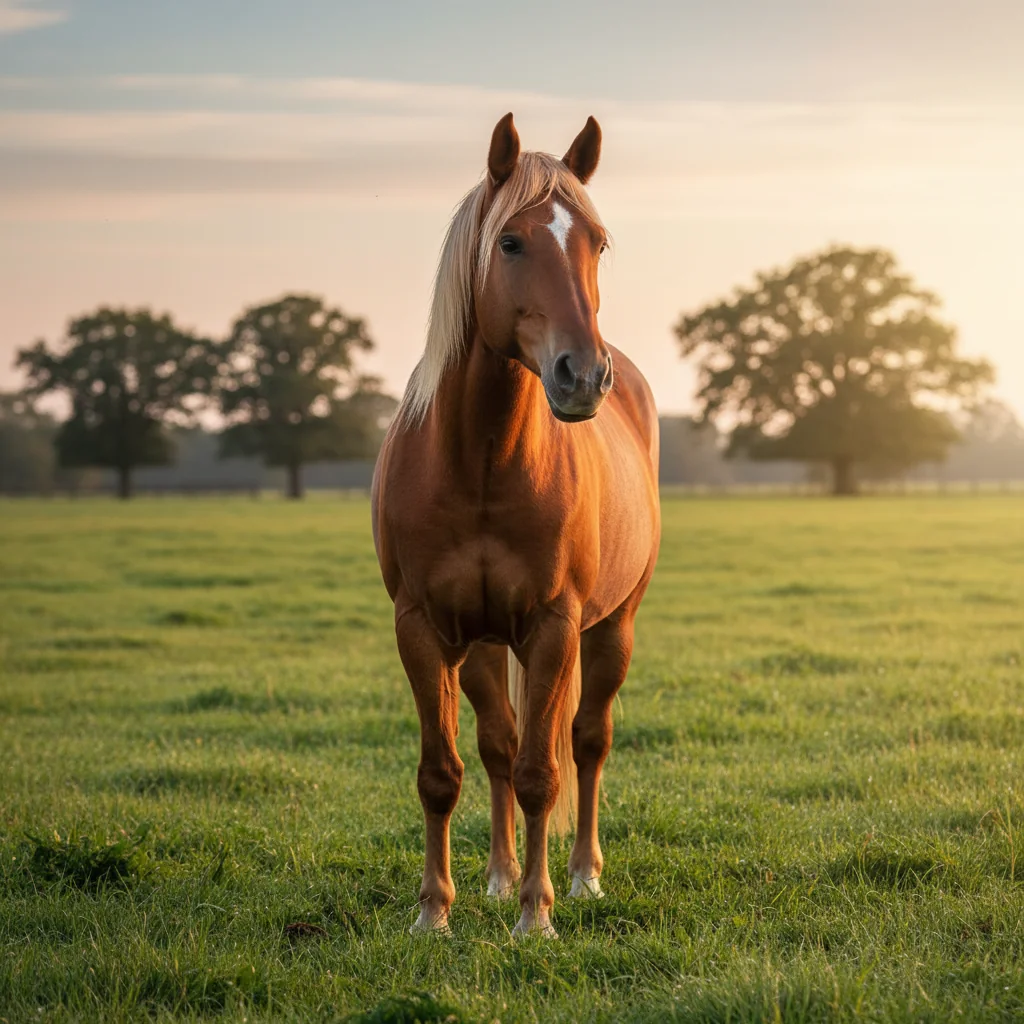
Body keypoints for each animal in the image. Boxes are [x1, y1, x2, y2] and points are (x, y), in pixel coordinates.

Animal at [371, 112, 660, 937]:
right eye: (510, 242)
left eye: (597, 243)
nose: (582, 375)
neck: (480, 461)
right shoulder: (423, 627)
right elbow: (444, 772)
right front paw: (435, 910)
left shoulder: (554, 627)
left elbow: (541, 773)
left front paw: (539, 914)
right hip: (480, 644)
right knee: (496, 744)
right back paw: (499, 874)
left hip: (611, 627)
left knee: (587, 742)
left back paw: (582, 874)